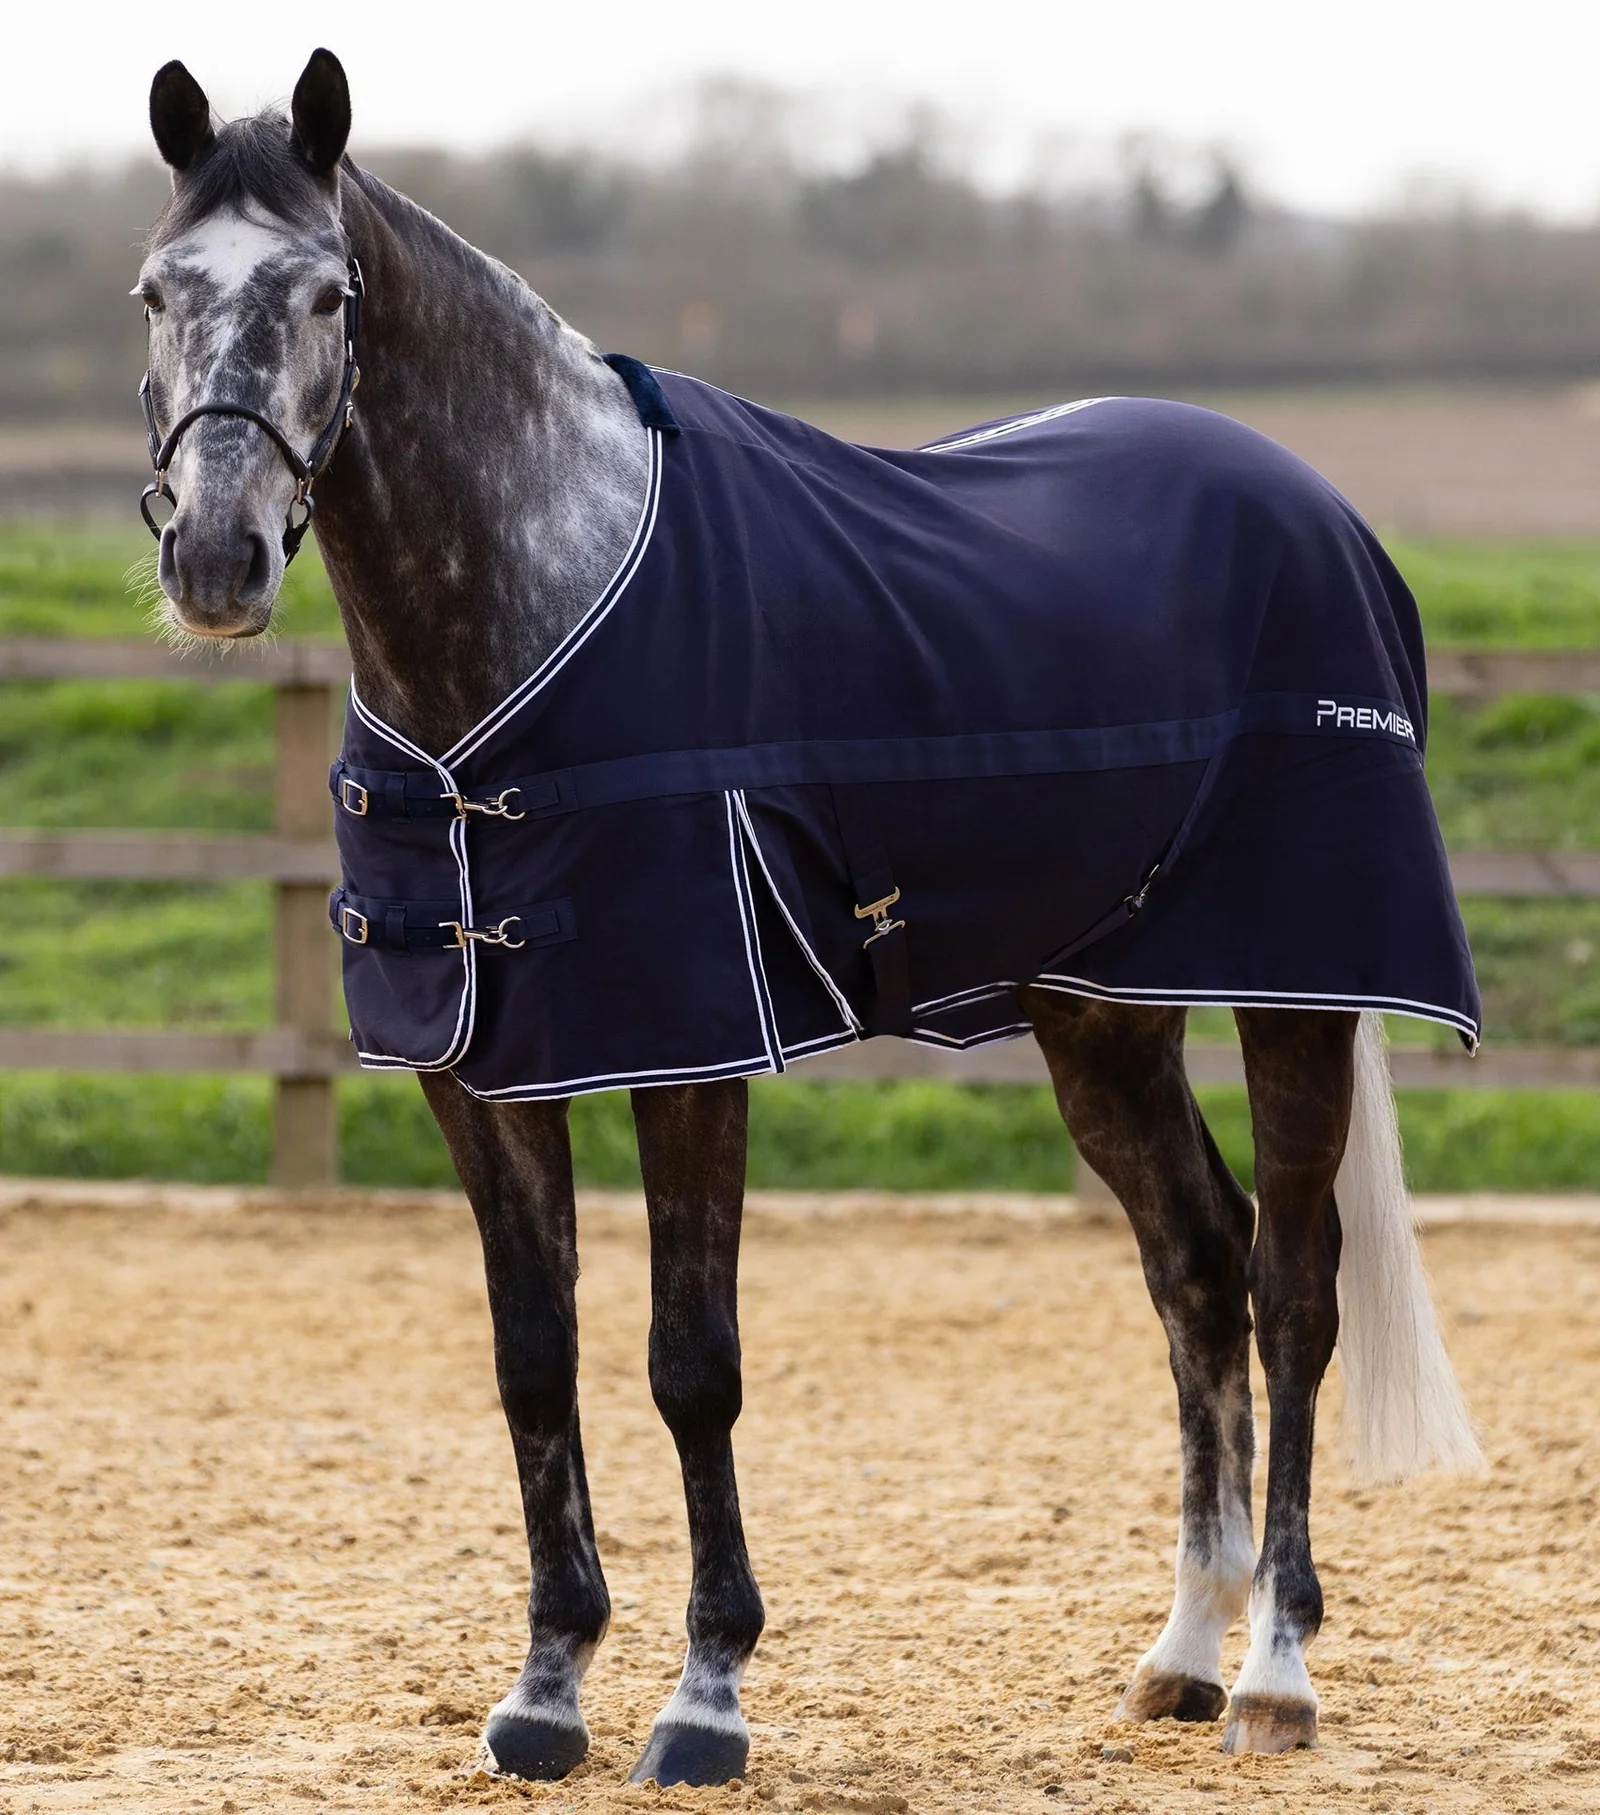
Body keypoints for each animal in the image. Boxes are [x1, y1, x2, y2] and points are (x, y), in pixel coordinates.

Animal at [133, 49, 1484, 1788]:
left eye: (325, 294)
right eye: (158, 292)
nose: (216, 558)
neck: (527, 614)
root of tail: (1317, 510)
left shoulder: (689, 1043)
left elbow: (687, 1361)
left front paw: (705, 1697)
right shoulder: (475, 1065)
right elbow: (533, 1358)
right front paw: (546, 1687)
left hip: (1292, 986)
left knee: (1292, 1285)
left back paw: (1275, 1672)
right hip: (1098, 1007)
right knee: (1195, 1263)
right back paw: (1182, 1650)